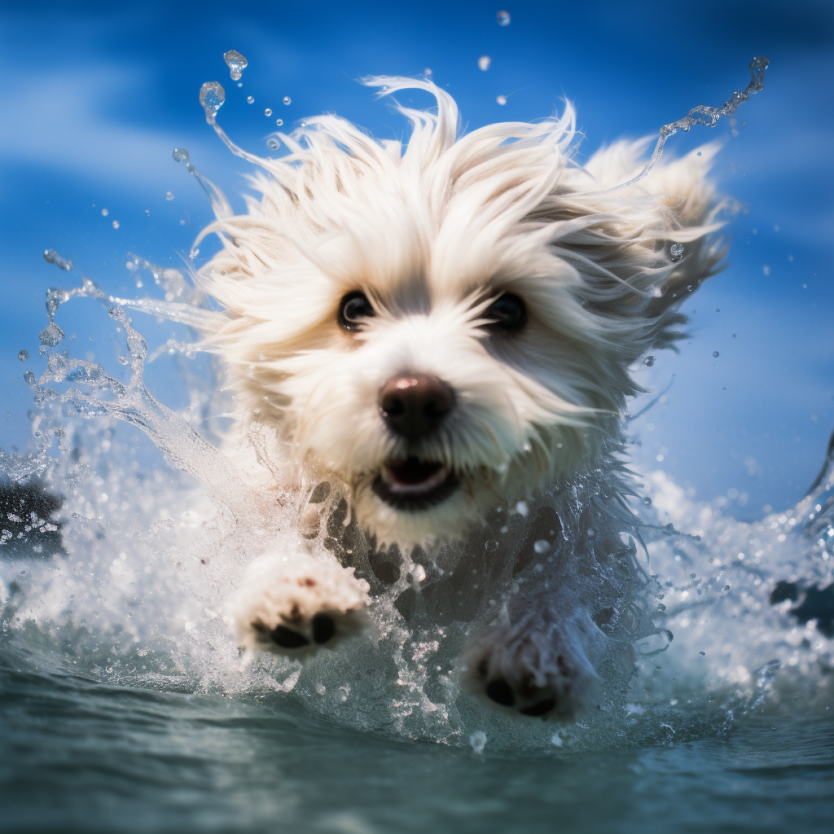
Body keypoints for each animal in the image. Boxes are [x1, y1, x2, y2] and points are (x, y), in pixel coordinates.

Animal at [195, 76, 720, 716]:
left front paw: (536, 641)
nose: (414, 399)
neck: (425, 539)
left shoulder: (582, 527)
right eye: (352, 308)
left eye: (508, 310)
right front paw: (294, 584)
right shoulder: (266, 491)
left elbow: (573, 578)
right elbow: (278, 531)